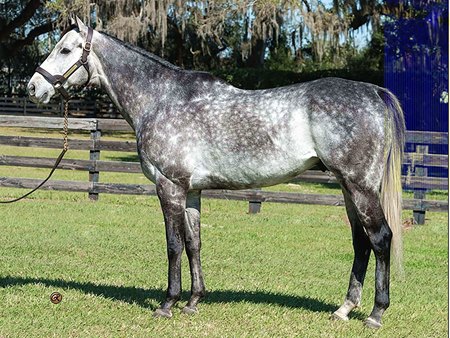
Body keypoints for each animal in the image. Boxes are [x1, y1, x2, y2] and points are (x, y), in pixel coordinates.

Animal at [27, 17, 404, 328]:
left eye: (64, 49)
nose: (33, 87)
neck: (161, 99)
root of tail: (373, 92)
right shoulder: (191, 190)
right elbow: (194, 243)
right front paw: (193, 301)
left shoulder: (169, 186)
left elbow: (173, 245)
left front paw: (168, 303)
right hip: (347, 187)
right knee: (361, 242)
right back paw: (344, 309)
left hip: (359, 186)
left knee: (380, 238)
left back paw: (376, 314)